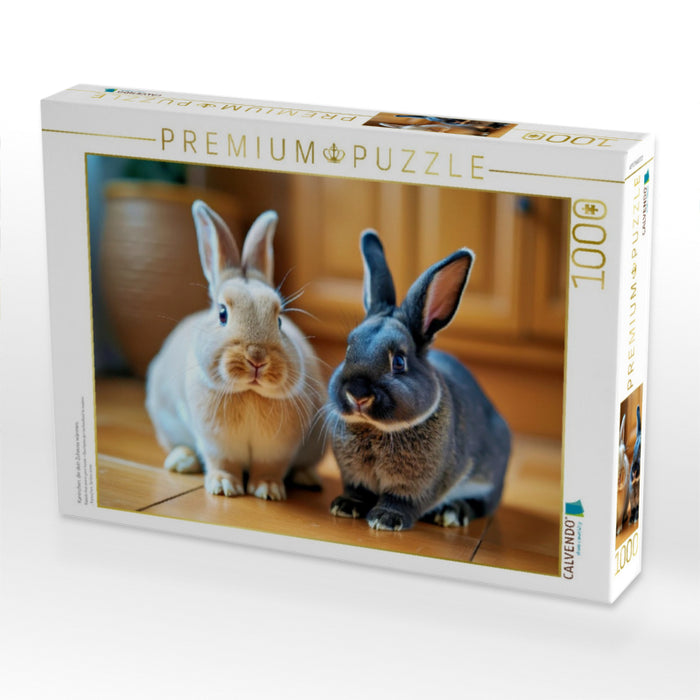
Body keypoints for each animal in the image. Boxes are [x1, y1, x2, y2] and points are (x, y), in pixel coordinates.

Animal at [145, 201, 326, 500]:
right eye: (222, 314)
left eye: (279, 321)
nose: (257, 358)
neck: (249, 393)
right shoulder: (215, 443)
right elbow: (222, 463)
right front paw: (224, 487)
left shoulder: (278, 450)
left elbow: (270, 468)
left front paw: (268, 491)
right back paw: (181, 462)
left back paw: (308, 478)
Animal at [326, 230, 511, 531]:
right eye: (348, 349)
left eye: (399, 362)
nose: (357, 393)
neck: (376, 429)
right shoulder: (355, 476)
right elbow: (358, 491)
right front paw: (344, 506)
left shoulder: (419, 484)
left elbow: (403, 500)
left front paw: (385, 519)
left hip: (489, 481)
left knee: (481, 505)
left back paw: (451, 514)